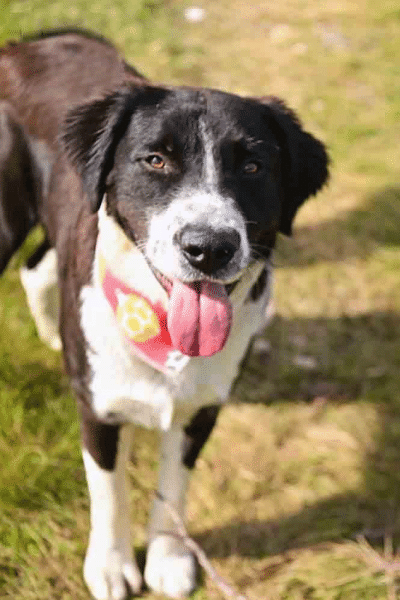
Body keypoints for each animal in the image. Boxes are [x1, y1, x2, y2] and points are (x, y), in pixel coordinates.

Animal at [0, 28, 329, 599]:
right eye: (155, 160)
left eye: (253, 166)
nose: (209, 247)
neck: (165, 342)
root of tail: (34, 42)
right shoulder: (100, 409)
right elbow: (108, 494)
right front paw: (110, 566)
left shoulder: (201, 410)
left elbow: (174, 489)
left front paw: (169, 560)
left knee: (37, 266)